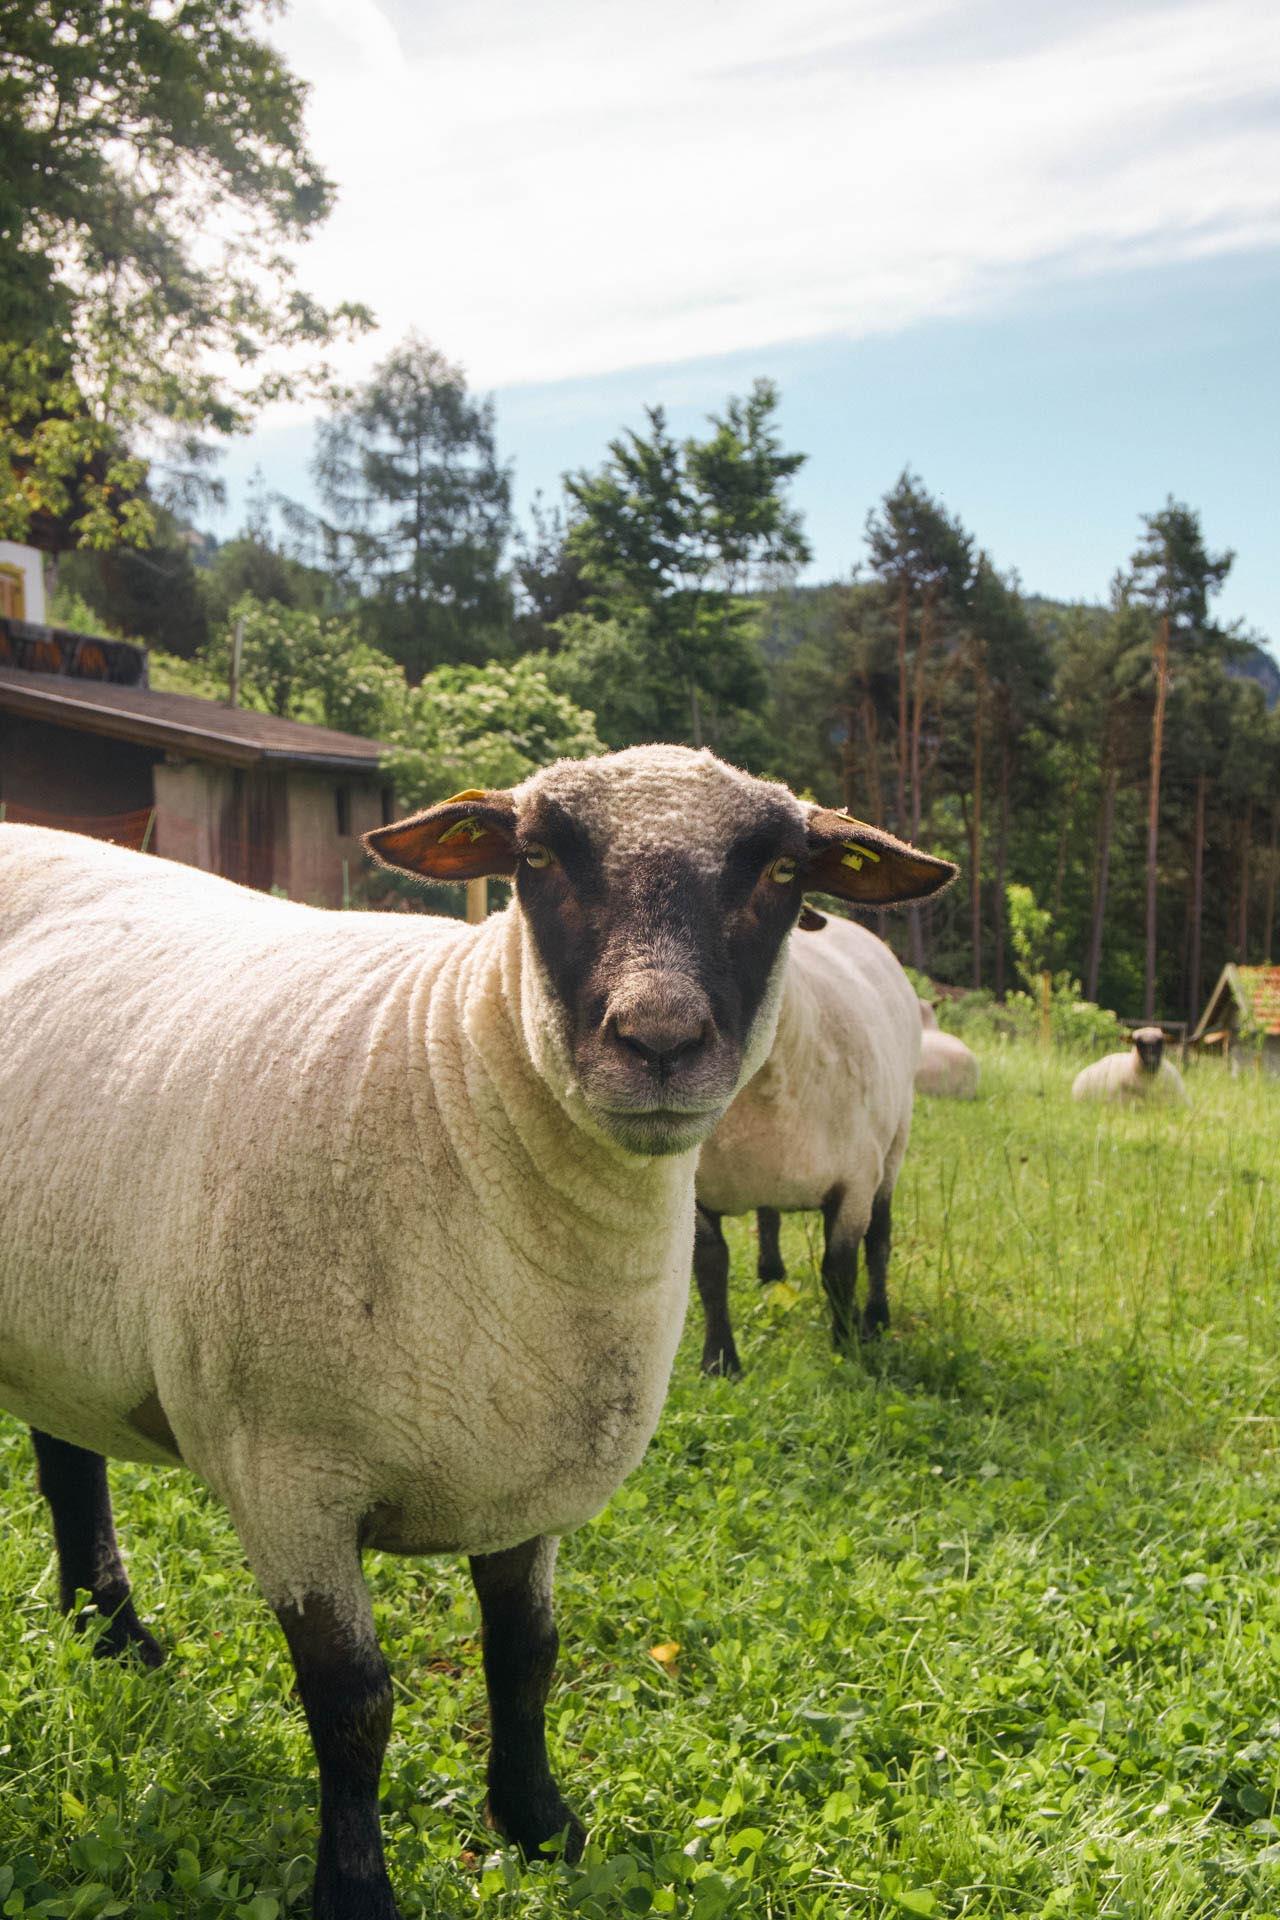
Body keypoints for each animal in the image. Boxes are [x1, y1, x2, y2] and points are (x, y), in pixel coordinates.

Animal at [693, 914, 924, 1375]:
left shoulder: (855, 1181)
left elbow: (839, 1269)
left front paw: (845, 1345)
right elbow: (710, 1265)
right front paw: (721, 1361)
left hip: (894, 1146)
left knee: (880, 1239)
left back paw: (877, 1318)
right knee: (768, 1215)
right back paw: (770, 1275)